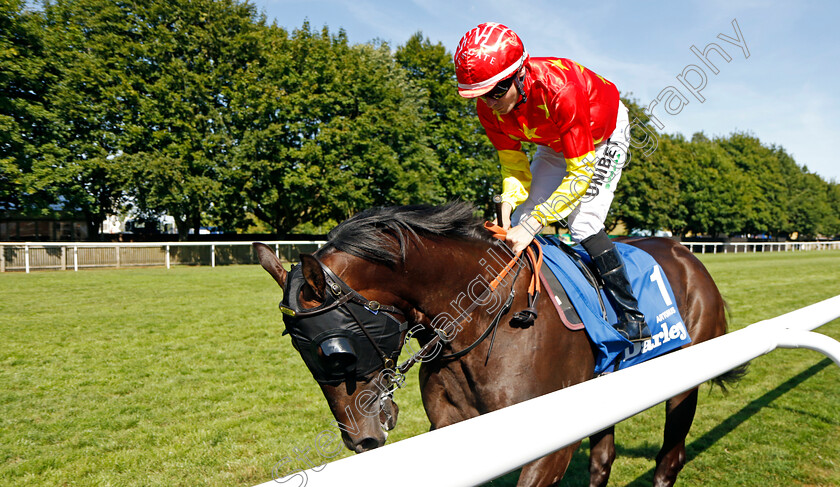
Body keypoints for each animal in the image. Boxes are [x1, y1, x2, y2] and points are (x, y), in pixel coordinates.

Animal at [254, 202, 740, 487]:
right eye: (300, 353)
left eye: (339, 352)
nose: (362, 439)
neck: (485, 320)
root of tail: (687, 255)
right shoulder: (454, 426)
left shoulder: (551, 443)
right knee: (604, 459)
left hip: (683, 382)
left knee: (669, 459)